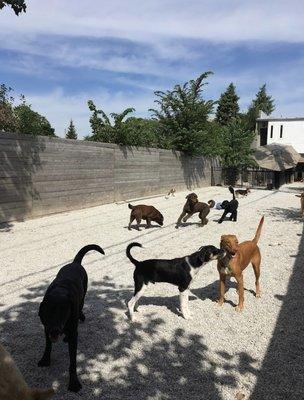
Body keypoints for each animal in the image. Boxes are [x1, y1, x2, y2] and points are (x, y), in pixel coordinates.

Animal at [38, 244, 105, 390]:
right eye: (48, 310)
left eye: (64, 311)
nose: (55, 330)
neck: (60, 290)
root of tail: (75, 263)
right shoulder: (46, 327)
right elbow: (48, 345)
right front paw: (45, 359)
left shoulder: (73, 333)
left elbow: (73, 361)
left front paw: (74, 382)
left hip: (83, 294)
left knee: (80, 307)